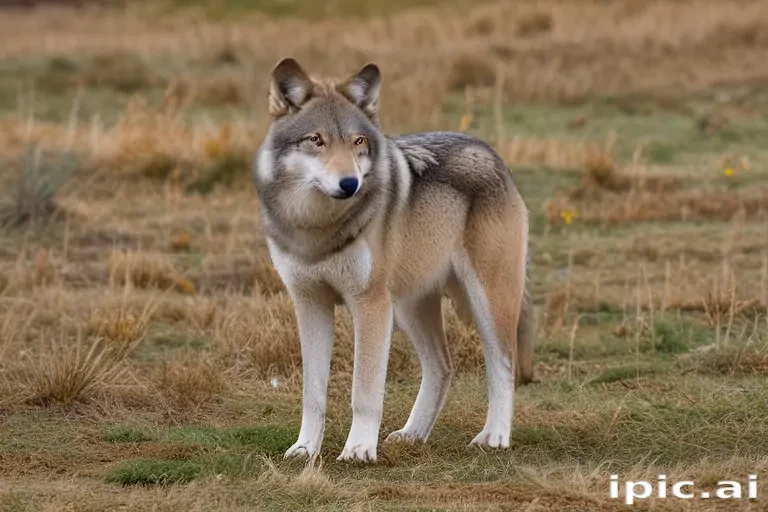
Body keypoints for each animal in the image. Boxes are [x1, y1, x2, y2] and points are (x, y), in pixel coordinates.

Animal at [252, 58, 534, 463]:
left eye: (358, 142)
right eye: (316, 140)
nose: (350, 184)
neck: (318, 229)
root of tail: (489, 151)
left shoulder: (369, 304)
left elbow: (364, 390)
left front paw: (358, 449)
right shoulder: (309, 304)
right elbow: (312, 394)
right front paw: (305, 449)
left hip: (485, 301)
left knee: (504, 364)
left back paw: (494, 436)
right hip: (408, 306)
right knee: (442, 365)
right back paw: (414, 433)